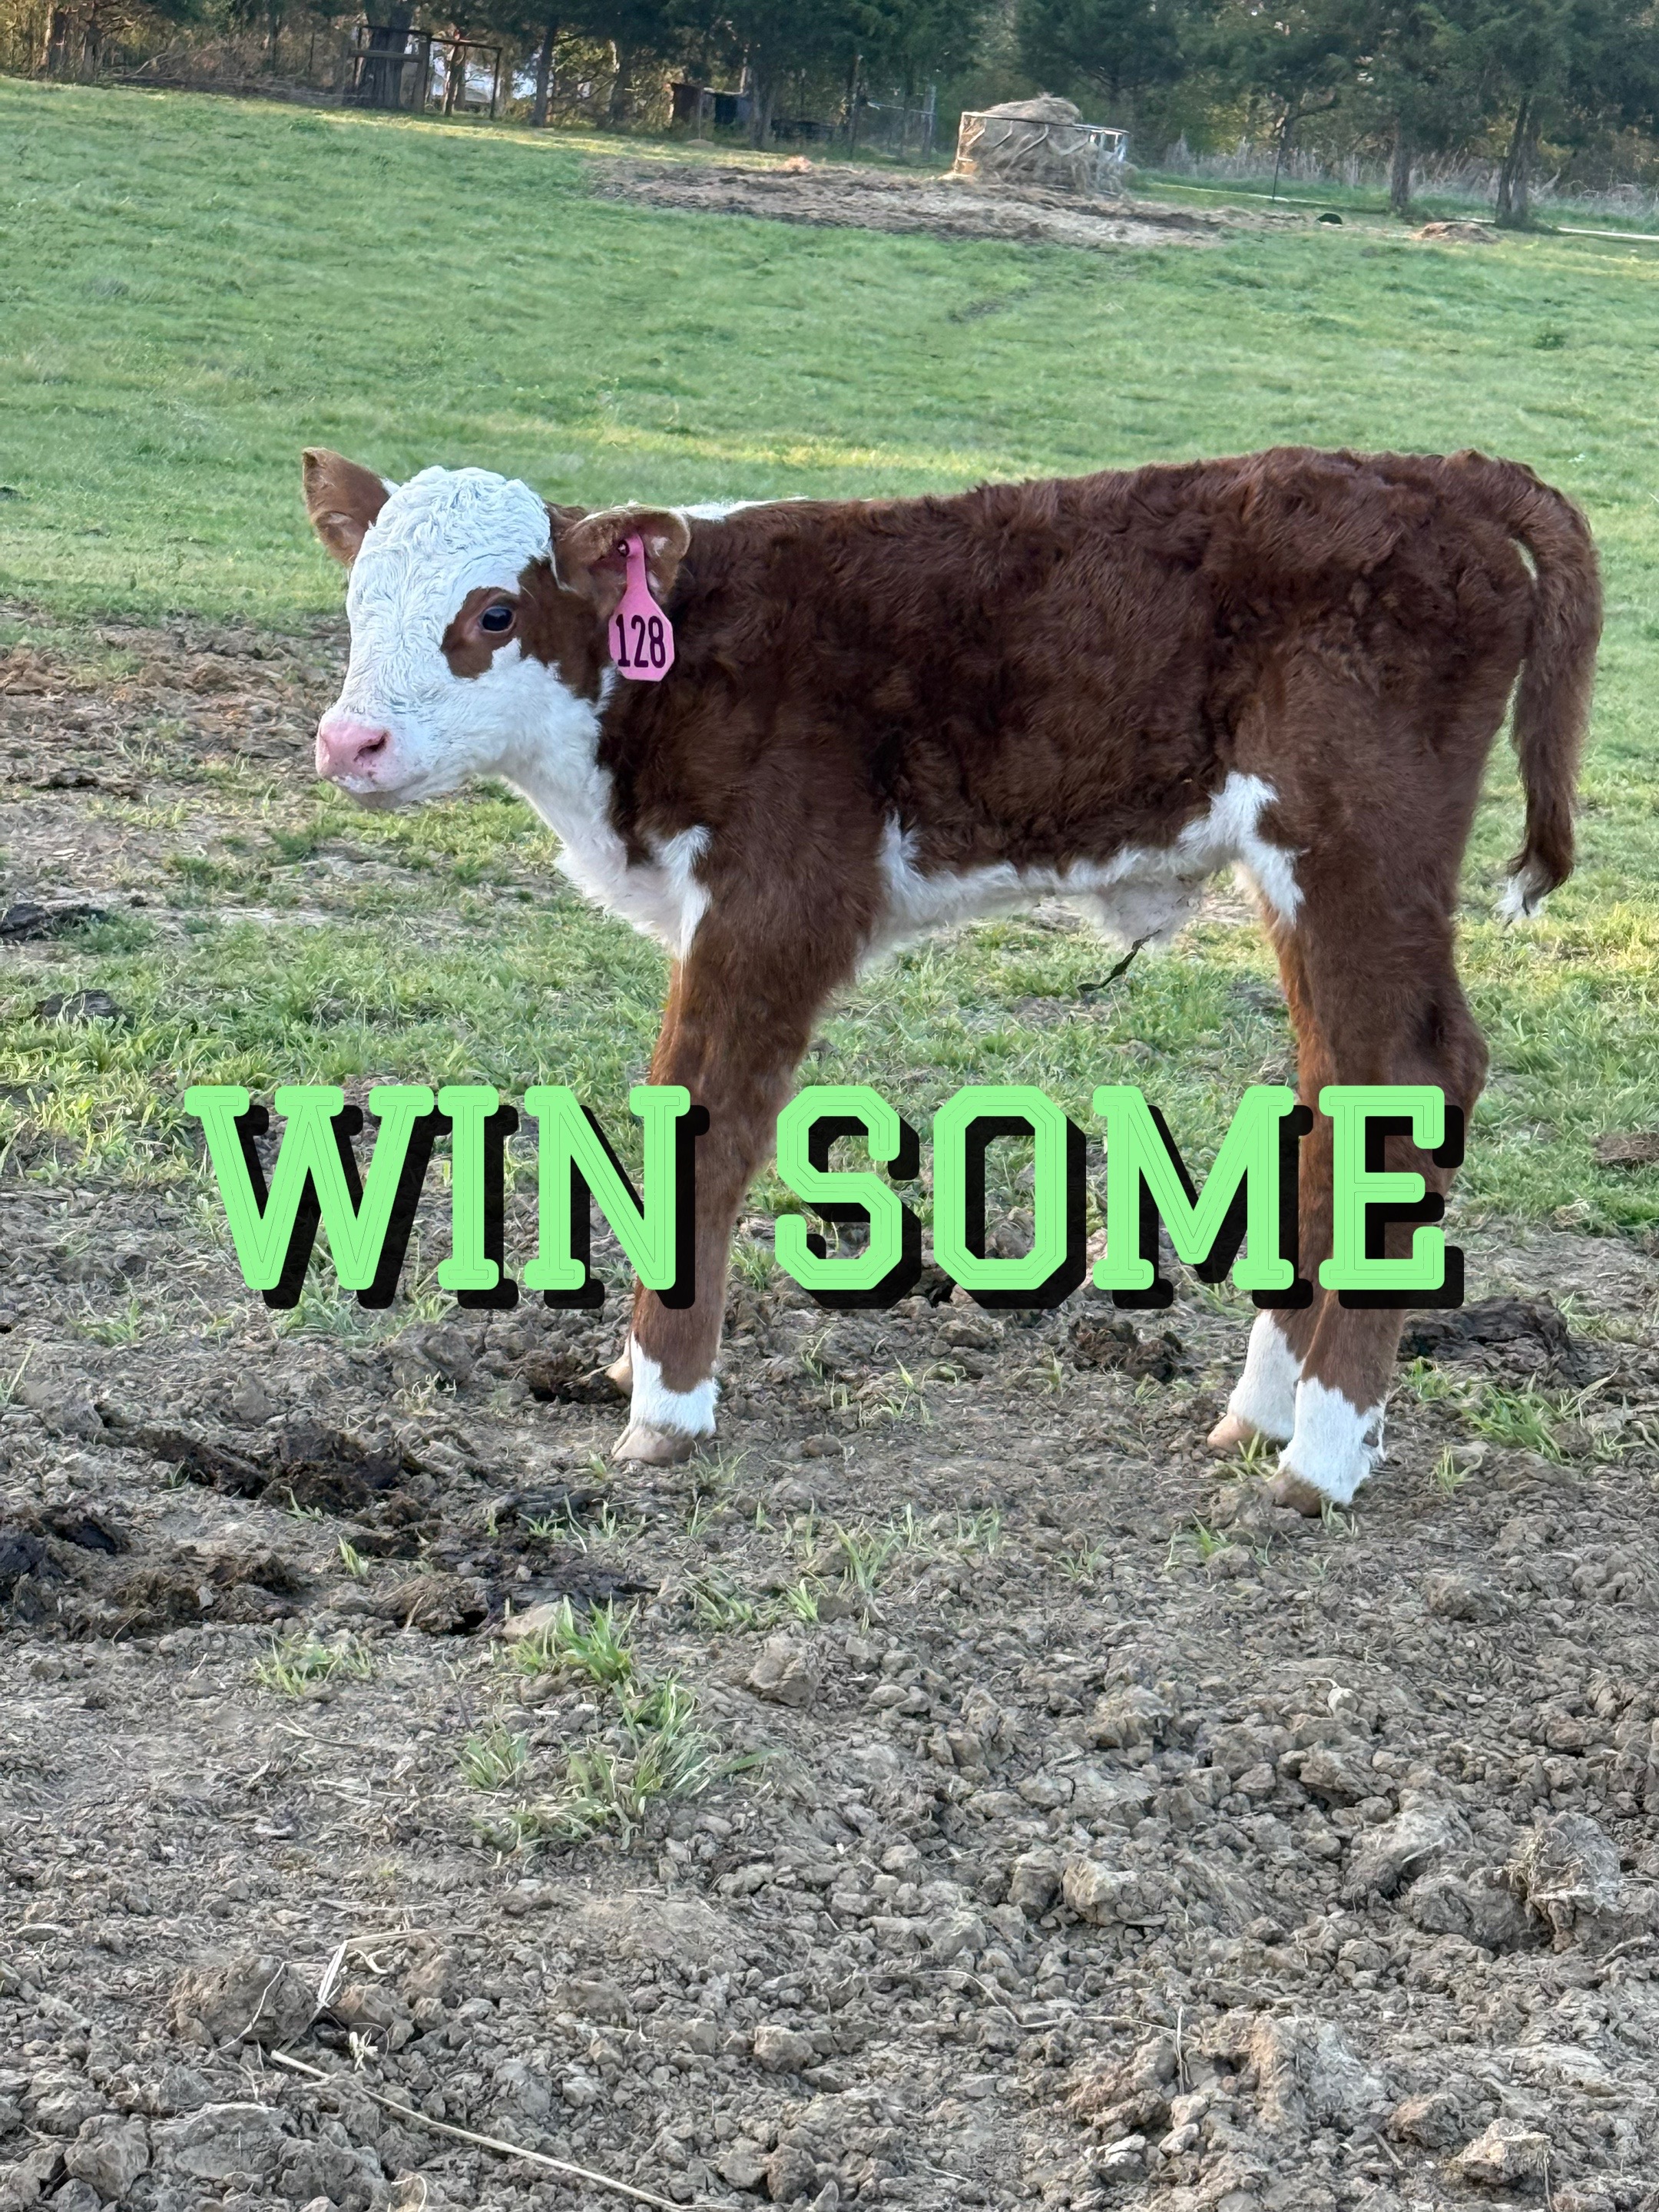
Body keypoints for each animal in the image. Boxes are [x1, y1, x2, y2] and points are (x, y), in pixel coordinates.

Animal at [301, 443, 1600, 1512]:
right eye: (358, 601)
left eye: (494, 610)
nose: (349, 743)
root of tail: (1435, 474)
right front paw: (626, 1360)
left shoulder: (780, 908)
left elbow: (711, 1132)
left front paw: (665, 1406)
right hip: (1303, 878)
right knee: (1344, 1092)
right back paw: (1264, 1410)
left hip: (1359, 844)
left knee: (1418, 1074)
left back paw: (1322, 1458)